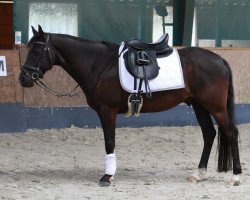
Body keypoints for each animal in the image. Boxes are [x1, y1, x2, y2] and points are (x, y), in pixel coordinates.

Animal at [19, 26, 242, 186]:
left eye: (37, 49)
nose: (23, 78)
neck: (99, 64)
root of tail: (220, 60)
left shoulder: (107, 111)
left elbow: (109, 142)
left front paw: (107, 177)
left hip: (215, 107)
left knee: (231, 133)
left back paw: (236, 176)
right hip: (199, 106)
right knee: (209, 134)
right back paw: (198, 174)